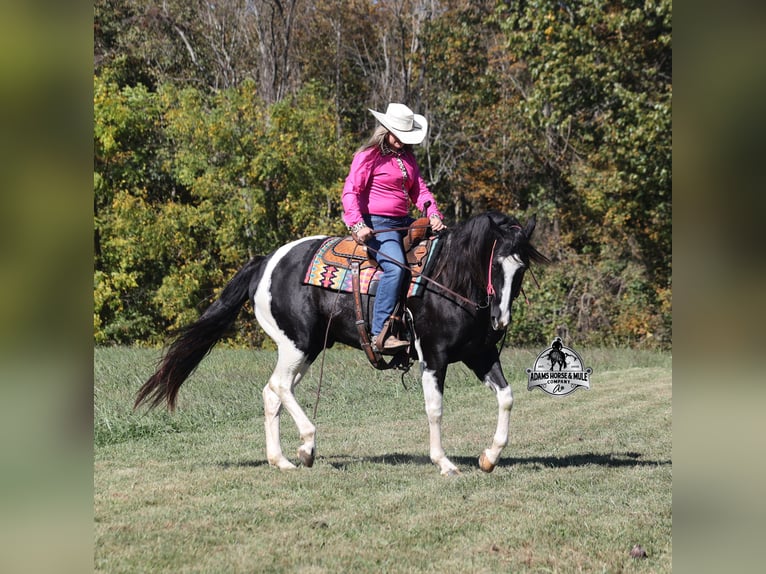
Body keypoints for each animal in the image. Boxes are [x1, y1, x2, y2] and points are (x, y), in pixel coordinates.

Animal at [134, 211, 549, 476]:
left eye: (521, 268)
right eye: (494, 263)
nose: (500, 320)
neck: (447, 280)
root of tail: (266, 261)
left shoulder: (480, 355)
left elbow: (507, 396)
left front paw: (489, 457)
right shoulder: (434, 356)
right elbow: (434, 410)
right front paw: (444, 462)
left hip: (306, 349)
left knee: (272, 392)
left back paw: (282, 460)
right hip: (297, 344)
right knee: (280, 387)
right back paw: (306, 446)